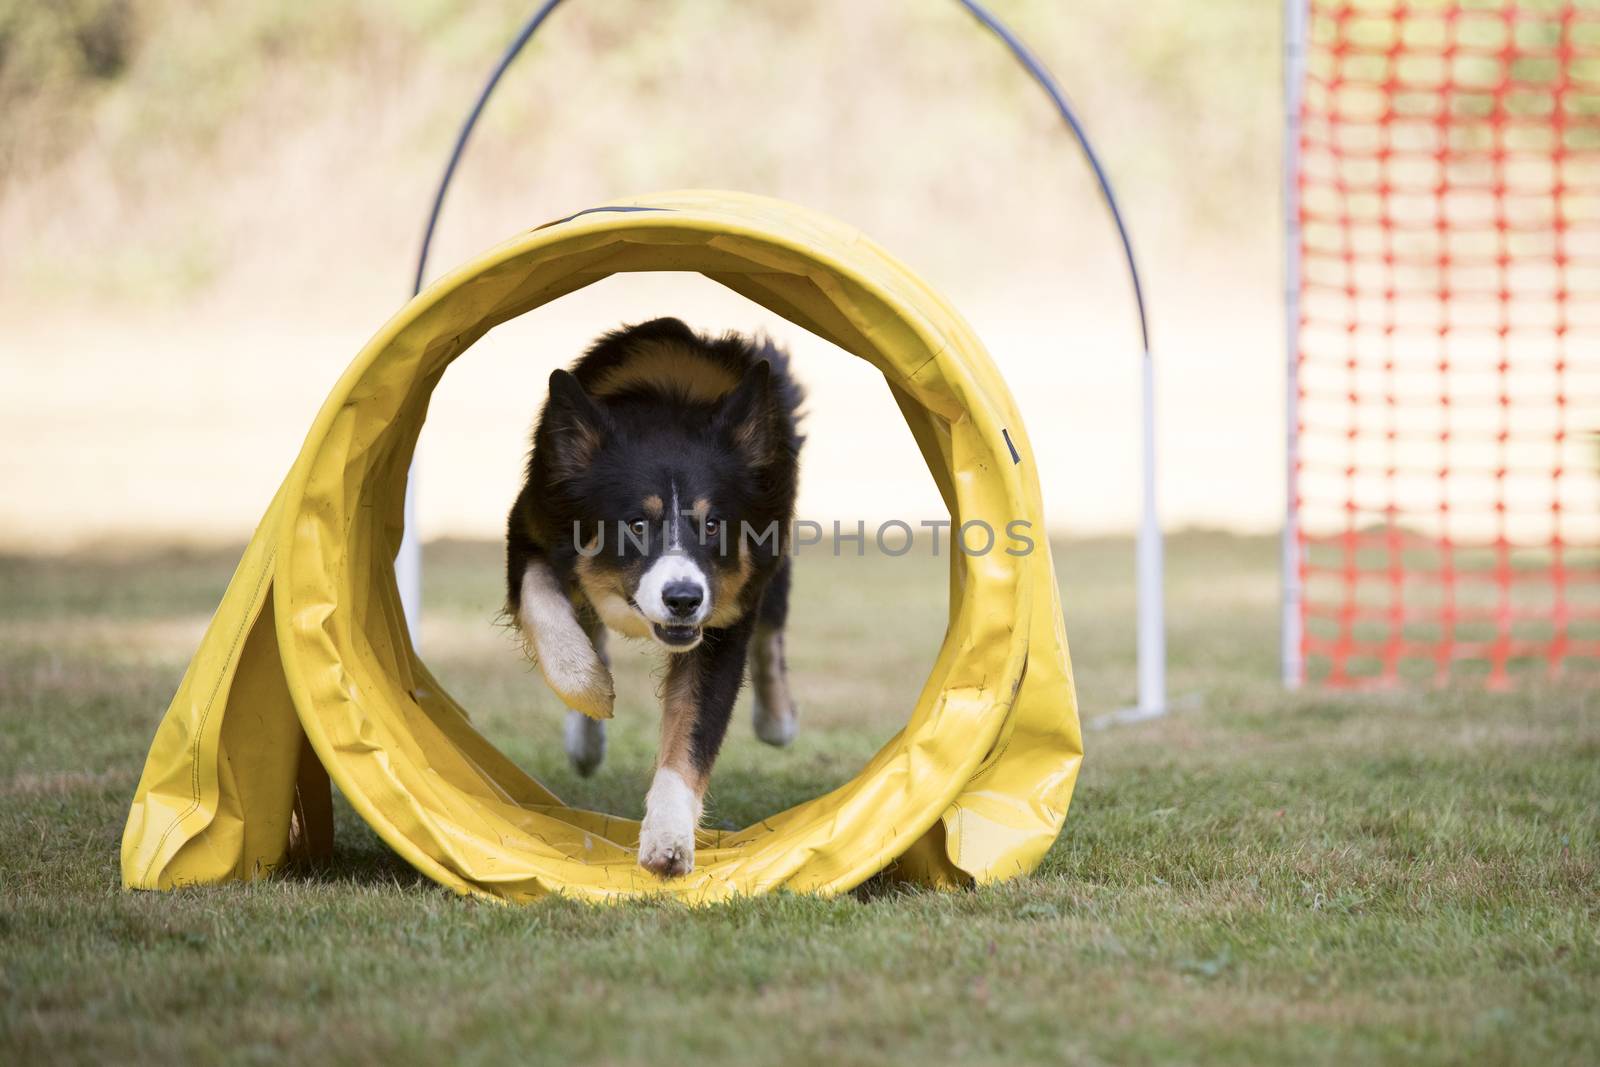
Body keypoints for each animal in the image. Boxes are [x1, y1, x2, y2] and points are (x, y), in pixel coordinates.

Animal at [508, 316, 806, 876]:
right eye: (637, 524)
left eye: (712, 524)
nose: (684, 598)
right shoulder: (529, 527)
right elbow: (544, 605)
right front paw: (589, 688)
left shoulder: (723, 619)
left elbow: (692, 729)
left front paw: (668, 838)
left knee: (773, 628)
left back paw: (777, 720)